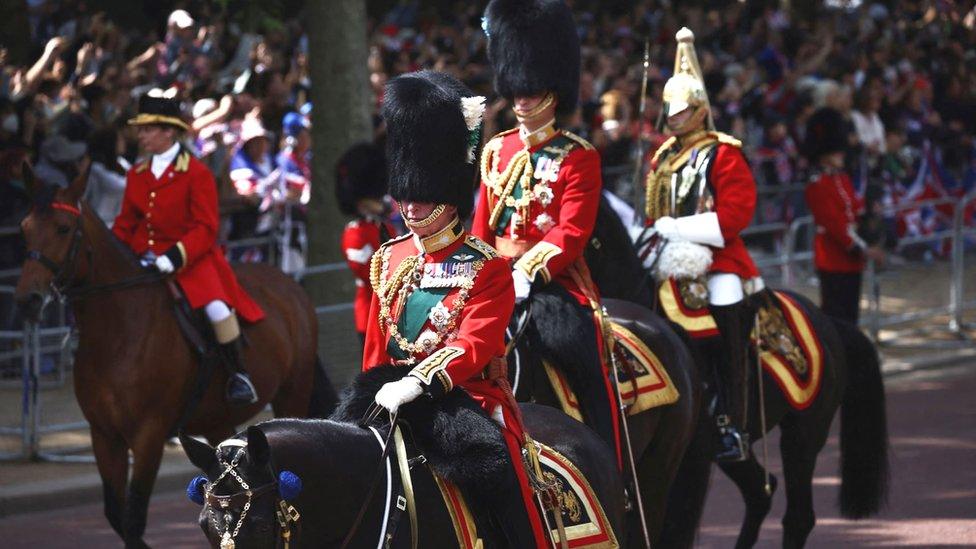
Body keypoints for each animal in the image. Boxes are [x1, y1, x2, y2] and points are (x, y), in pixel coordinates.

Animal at [12, 165, 336, 544]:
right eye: (24, 227)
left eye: (63, 228)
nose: (28, 300)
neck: (118, 332)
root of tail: (289, 284)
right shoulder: (104, 436)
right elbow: (116, 514)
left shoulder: (149, 435)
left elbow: (134, 518)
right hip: (217, 419)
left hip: (292, 392)